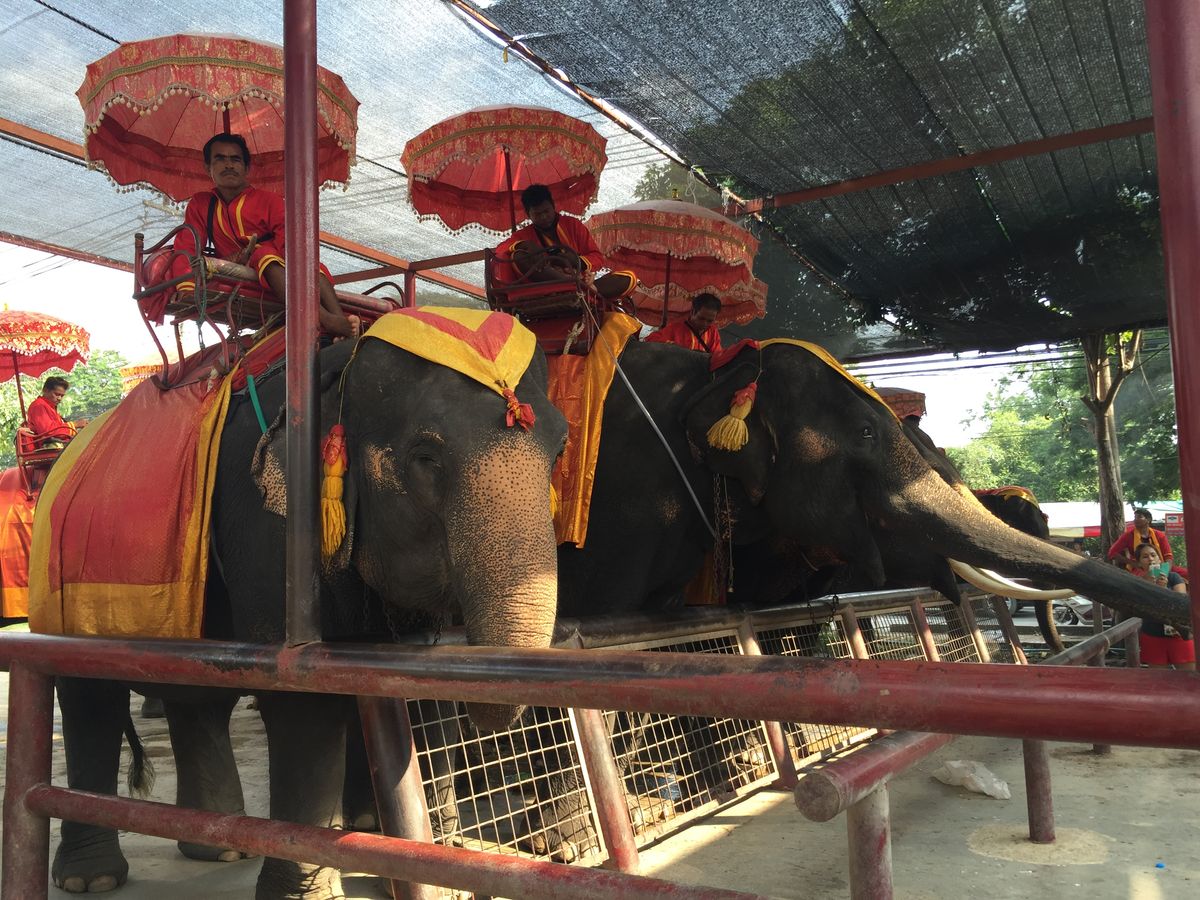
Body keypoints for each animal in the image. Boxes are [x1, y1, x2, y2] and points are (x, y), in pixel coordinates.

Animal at [47, 329, 568, 899]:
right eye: (425, 457)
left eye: (561, 449)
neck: (338, 367)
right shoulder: (269, 528)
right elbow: (304, 699)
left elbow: (419, 681)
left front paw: (425, 864)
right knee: (88, 696)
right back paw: (91, 877)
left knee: (198, 698)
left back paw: (220, 847)